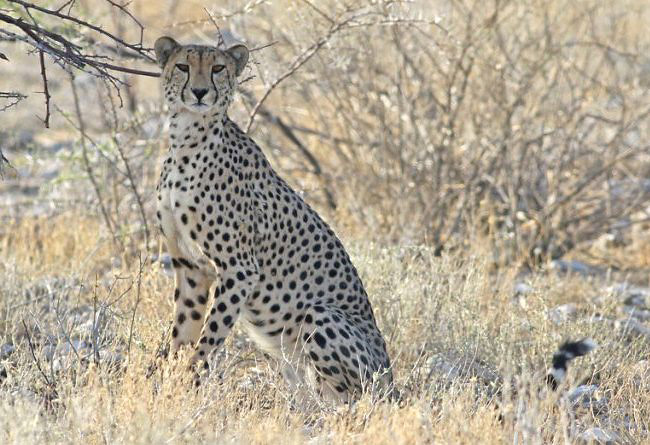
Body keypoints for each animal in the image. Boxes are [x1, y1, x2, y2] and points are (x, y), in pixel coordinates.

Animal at [153, 36, 392, 403]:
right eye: (182, 66)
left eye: (217, 68)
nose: (199, 92)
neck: (187, 140)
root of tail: (393, 380)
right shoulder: (190, 267)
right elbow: (183, 332)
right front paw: (167, 385)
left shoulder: (239, 269)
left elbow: (208, 338)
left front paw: (189, 384)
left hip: (321, 317)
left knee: (347, 399)